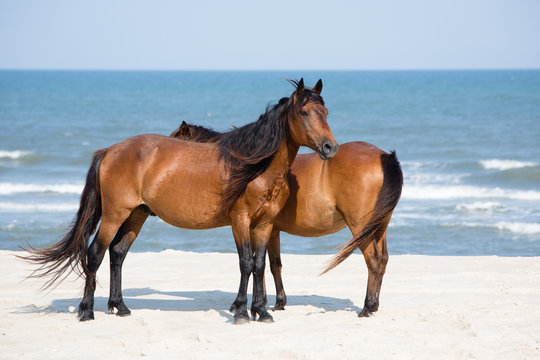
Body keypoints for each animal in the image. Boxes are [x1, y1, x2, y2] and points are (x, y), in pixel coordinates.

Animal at [25, 78, 340, 324]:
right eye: (304, 112)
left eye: (326, 111)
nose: (330, 147)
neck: (255, 167)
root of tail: (110, 150)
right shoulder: (240, 221)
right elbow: (246, 263)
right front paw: (241, 312)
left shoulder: (264, 224)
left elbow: (261, 265)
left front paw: (261, 312)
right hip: (115, 215)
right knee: (95, 254)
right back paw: (87, 311)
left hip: (136, 215)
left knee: (117, 253)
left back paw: (121, 307)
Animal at [171, 122, 402, 316]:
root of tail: (383, 156)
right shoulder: (271, 229)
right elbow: (273, 265)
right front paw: (276, 302)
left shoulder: (257, 226)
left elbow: (259, 263)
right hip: (380, 226)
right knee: (383, 259)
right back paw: (374, 305)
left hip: (360, 227)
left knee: (373, 259)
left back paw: (367, 307)